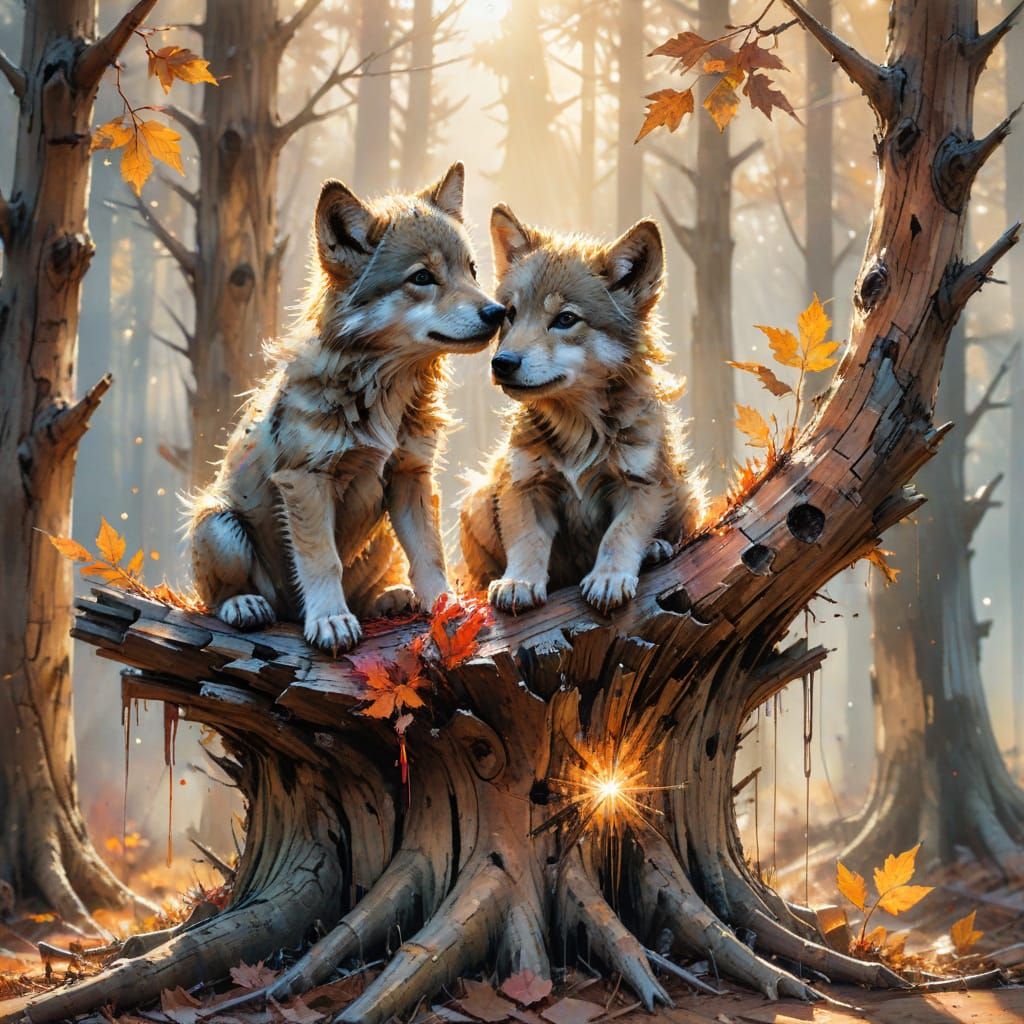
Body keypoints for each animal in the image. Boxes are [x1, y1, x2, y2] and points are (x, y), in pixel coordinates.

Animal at [188, 163, 505, 652]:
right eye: (422, 277)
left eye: (470, 271)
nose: (498, 312)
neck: (384, 390)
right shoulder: (305, 480)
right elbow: (323, 561)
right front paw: (330, 621)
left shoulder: (411, 475)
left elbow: (430, 554)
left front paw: (445, 607)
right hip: (219, 526)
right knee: (218, 596)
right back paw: (246, 605)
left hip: (382, 538)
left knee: (372, 587)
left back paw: (390, 599)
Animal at [459, 204, 704, 615]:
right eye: (510, 313)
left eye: (566, 319)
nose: (502, 363)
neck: (578, 428)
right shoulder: (524, 486)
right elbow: (527, 540)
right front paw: (518, 582)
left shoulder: (643, 486)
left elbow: (619, 535)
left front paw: (608, 579)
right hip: (478, 497)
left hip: (686, 490)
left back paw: (655, 548)